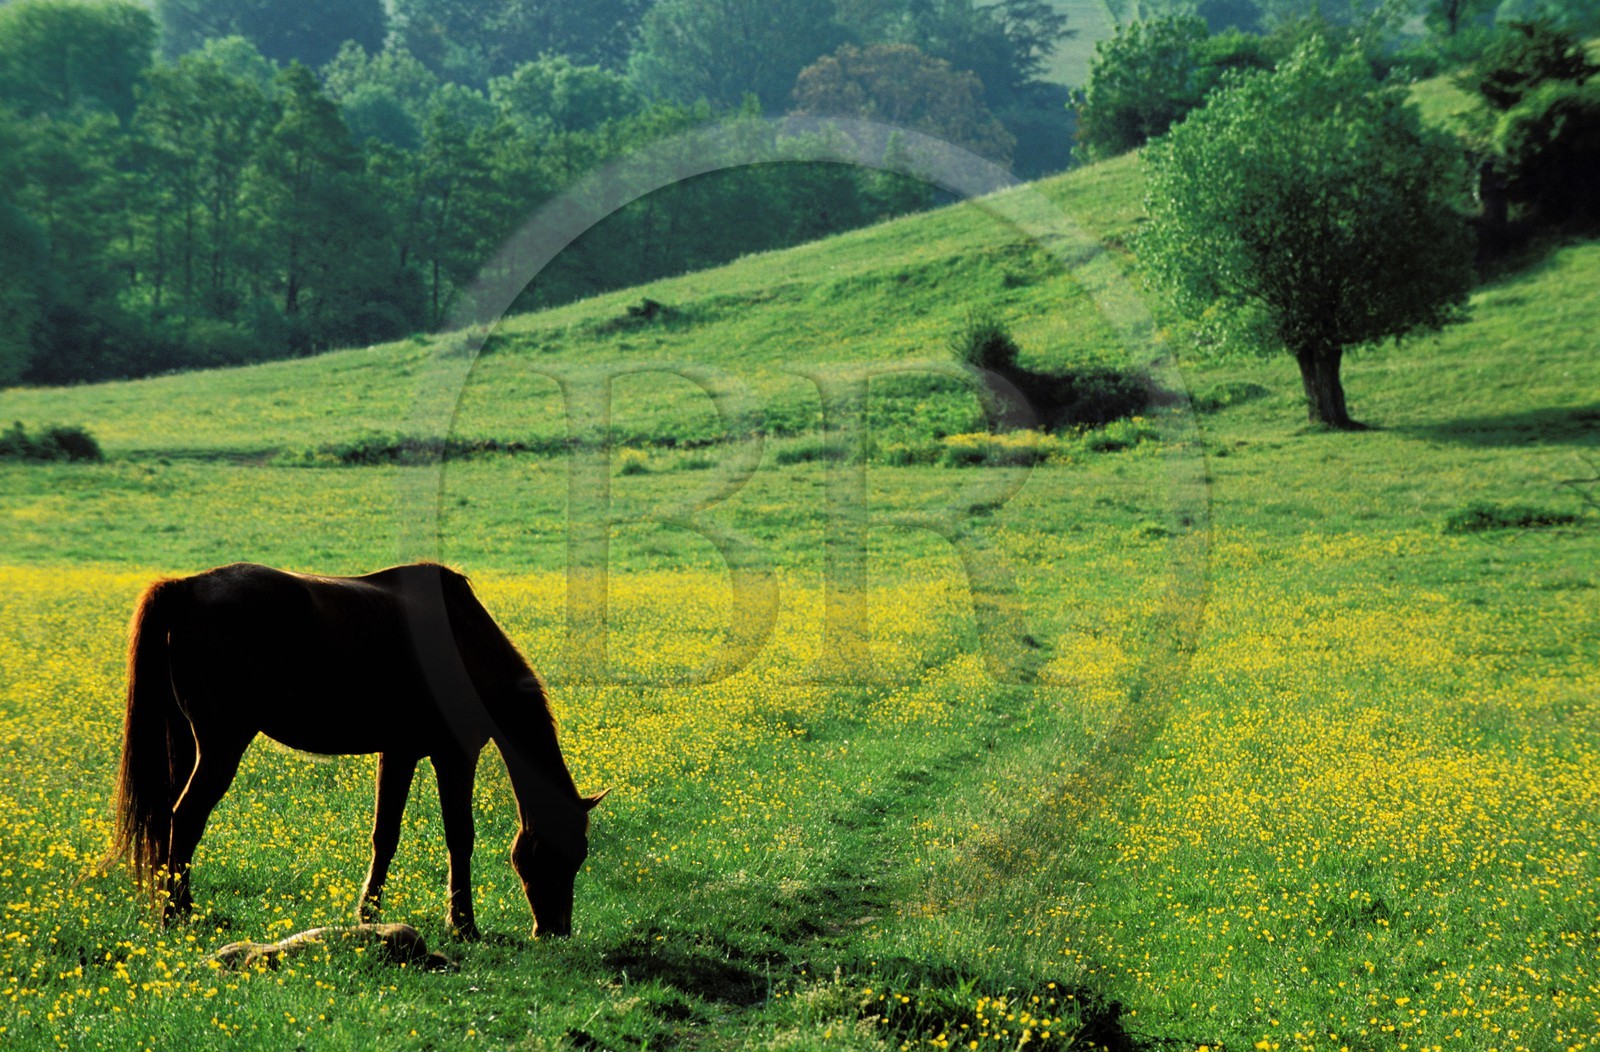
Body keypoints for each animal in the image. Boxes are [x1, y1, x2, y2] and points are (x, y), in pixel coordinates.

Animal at [107, 561, 607, 939]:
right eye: (565, 852)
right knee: (187, 817)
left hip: (186, 744)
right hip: (221, 746)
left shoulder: (399, 753)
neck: (467, 641)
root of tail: (185, 588)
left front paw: (368, 914)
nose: (555, 930)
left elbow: (385, 835)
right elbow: (459, 837)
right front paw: (463, 924)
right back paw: (177, 913)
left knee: (170, 820)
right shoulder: (455, 755)